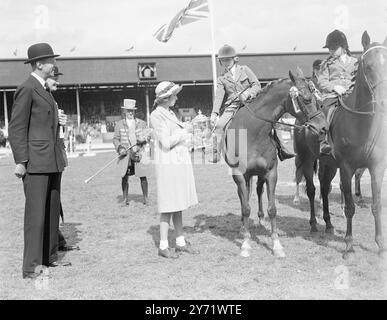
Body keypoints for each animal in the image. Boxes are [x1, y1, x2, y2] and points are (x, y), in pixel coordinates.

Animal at [224, 79, 300, 258]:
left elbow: (272, 209)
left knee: (258, 191)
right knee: (244, 195)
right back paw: (242, 226)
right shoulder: (240, 175)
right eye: (307, 99)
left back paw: (260, 219)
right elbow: (245, 208)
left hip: (259, 174)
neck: (254, 131)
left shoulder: (271, 173)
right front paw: (245, 244)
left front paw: (277, 245)